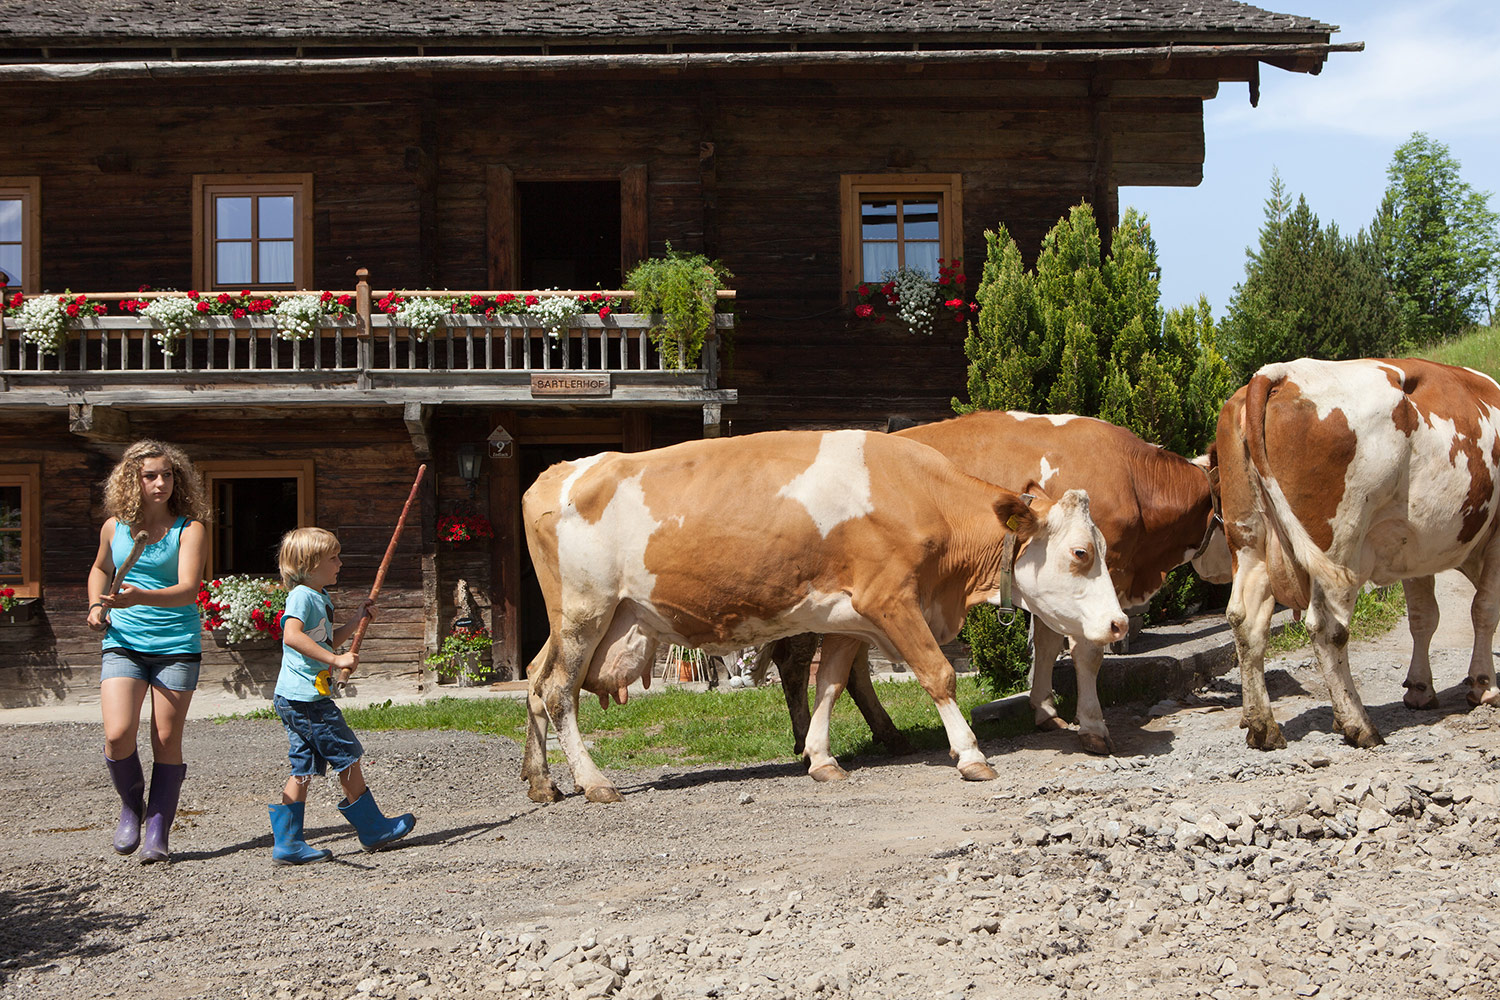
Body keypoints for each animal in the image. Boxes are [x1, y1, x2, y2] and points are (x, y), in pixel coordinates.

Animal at [522, 425, 1122, 803]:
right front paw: (971, 755)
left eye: (1101, 549)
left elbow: (830, 682)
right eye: (1080, 553)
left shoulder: (850, 613)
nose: (1119, 624)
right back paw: (595, 782)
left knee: (533, 679)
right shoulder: (891, 600)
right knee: (558, 691)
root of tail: (560, 470)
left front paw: (820, 758)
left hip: (584, 619)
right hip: (585, 612)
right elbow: (938, 673)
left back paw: (541, 781)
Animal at [768, 410, 1224, 755]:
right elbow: (1086, 652)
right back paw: (804, 739)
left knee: (851, 664)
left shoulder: (1050, 583)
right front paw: (1093, 727)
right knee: (796, 661)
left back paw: (886, 735)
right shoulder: (1091, 576)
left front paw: (1045, 712)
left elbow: (1048, 643)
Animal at [1212, 359, 1500, 749]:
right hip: (1339, 544)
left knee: (1246, 621)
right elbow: (1483, 609)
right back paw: (1357, 723)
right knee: (1327, 628)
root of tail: (1280, 372)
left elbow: (1424, 618)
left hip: (1249, 541)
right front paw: (1484, 685)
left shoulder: (1412, 544)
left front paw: (1420, 689)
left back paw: (1262, 726)